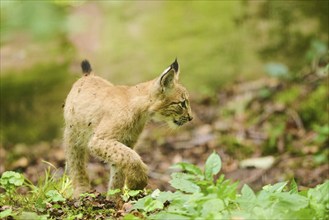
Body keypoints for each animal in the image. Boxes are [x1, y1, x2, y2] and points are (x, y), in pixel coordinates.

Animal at [62, 58, 192, 198]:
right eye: (182, 103)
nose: (191, 118)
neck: (143, 112)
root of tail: (88, 76)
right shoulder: (99, 140)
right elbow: (132, 157)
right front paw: (137, 183)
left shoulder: (126, 141)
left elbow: (120, 165)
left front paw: (114, 199)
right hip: (73, 134)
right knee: (75, 163)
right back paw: (81, 191)